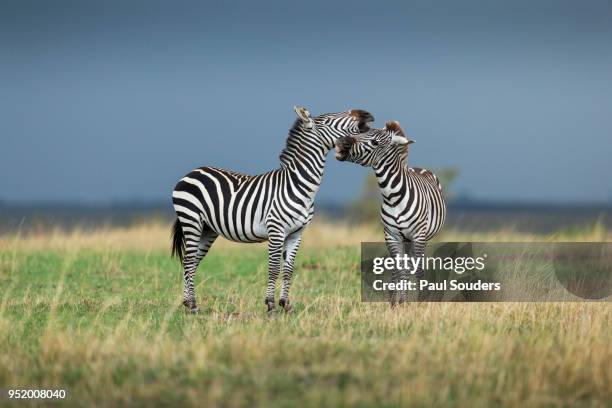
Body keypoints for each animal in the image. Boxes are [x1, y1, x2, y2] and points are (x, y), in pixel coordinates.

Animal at [170, 107, 376, 314]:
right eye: (327, 120)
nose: (366, 113)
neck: (299, 185)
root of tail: (193, 171)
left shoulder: (296, 234)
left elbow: (288, 270)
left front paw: (286, 305)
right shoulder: (276, 230)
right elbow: (274, 268)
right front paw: (270, 305)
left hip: (208, 229)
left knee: (193, 262)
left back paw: (189, 304)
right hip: (191, 221)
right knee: (188, 261)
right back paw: (191, 306)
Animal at [334, 119, 444, 304]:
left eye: (375, 142)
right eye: (361, 132)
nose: (341, 142)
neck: (393, 197)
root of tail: (416, 167)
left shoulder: (418, 235)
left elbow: (418, 270)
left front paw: (419, 302)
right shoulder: (391, 235)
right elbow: (399, 271)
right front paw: (398, 303)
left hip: (421, 237)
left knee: (416, 265)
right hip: (404, 239)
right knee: (400, 269)